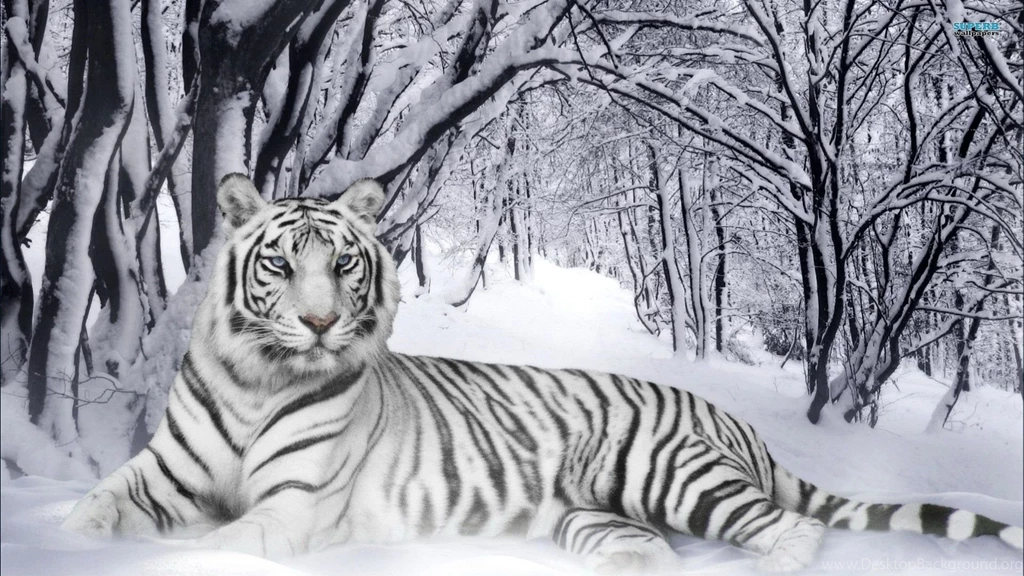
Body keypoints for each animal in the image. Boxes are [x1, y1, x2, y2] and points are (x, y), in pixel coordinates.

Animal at [61, 173, 1023, 574]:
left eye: (343, 264)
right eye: (280, 264)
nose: (322, 322)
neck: (258, 378)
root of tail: (732, 419)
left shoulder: (291, 509)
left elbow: (213, 543)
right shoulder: (158, 475)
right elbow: (92, 510)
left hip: (670, 473)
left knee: (790, 531)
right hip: (592, 517)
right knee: (650, 552)